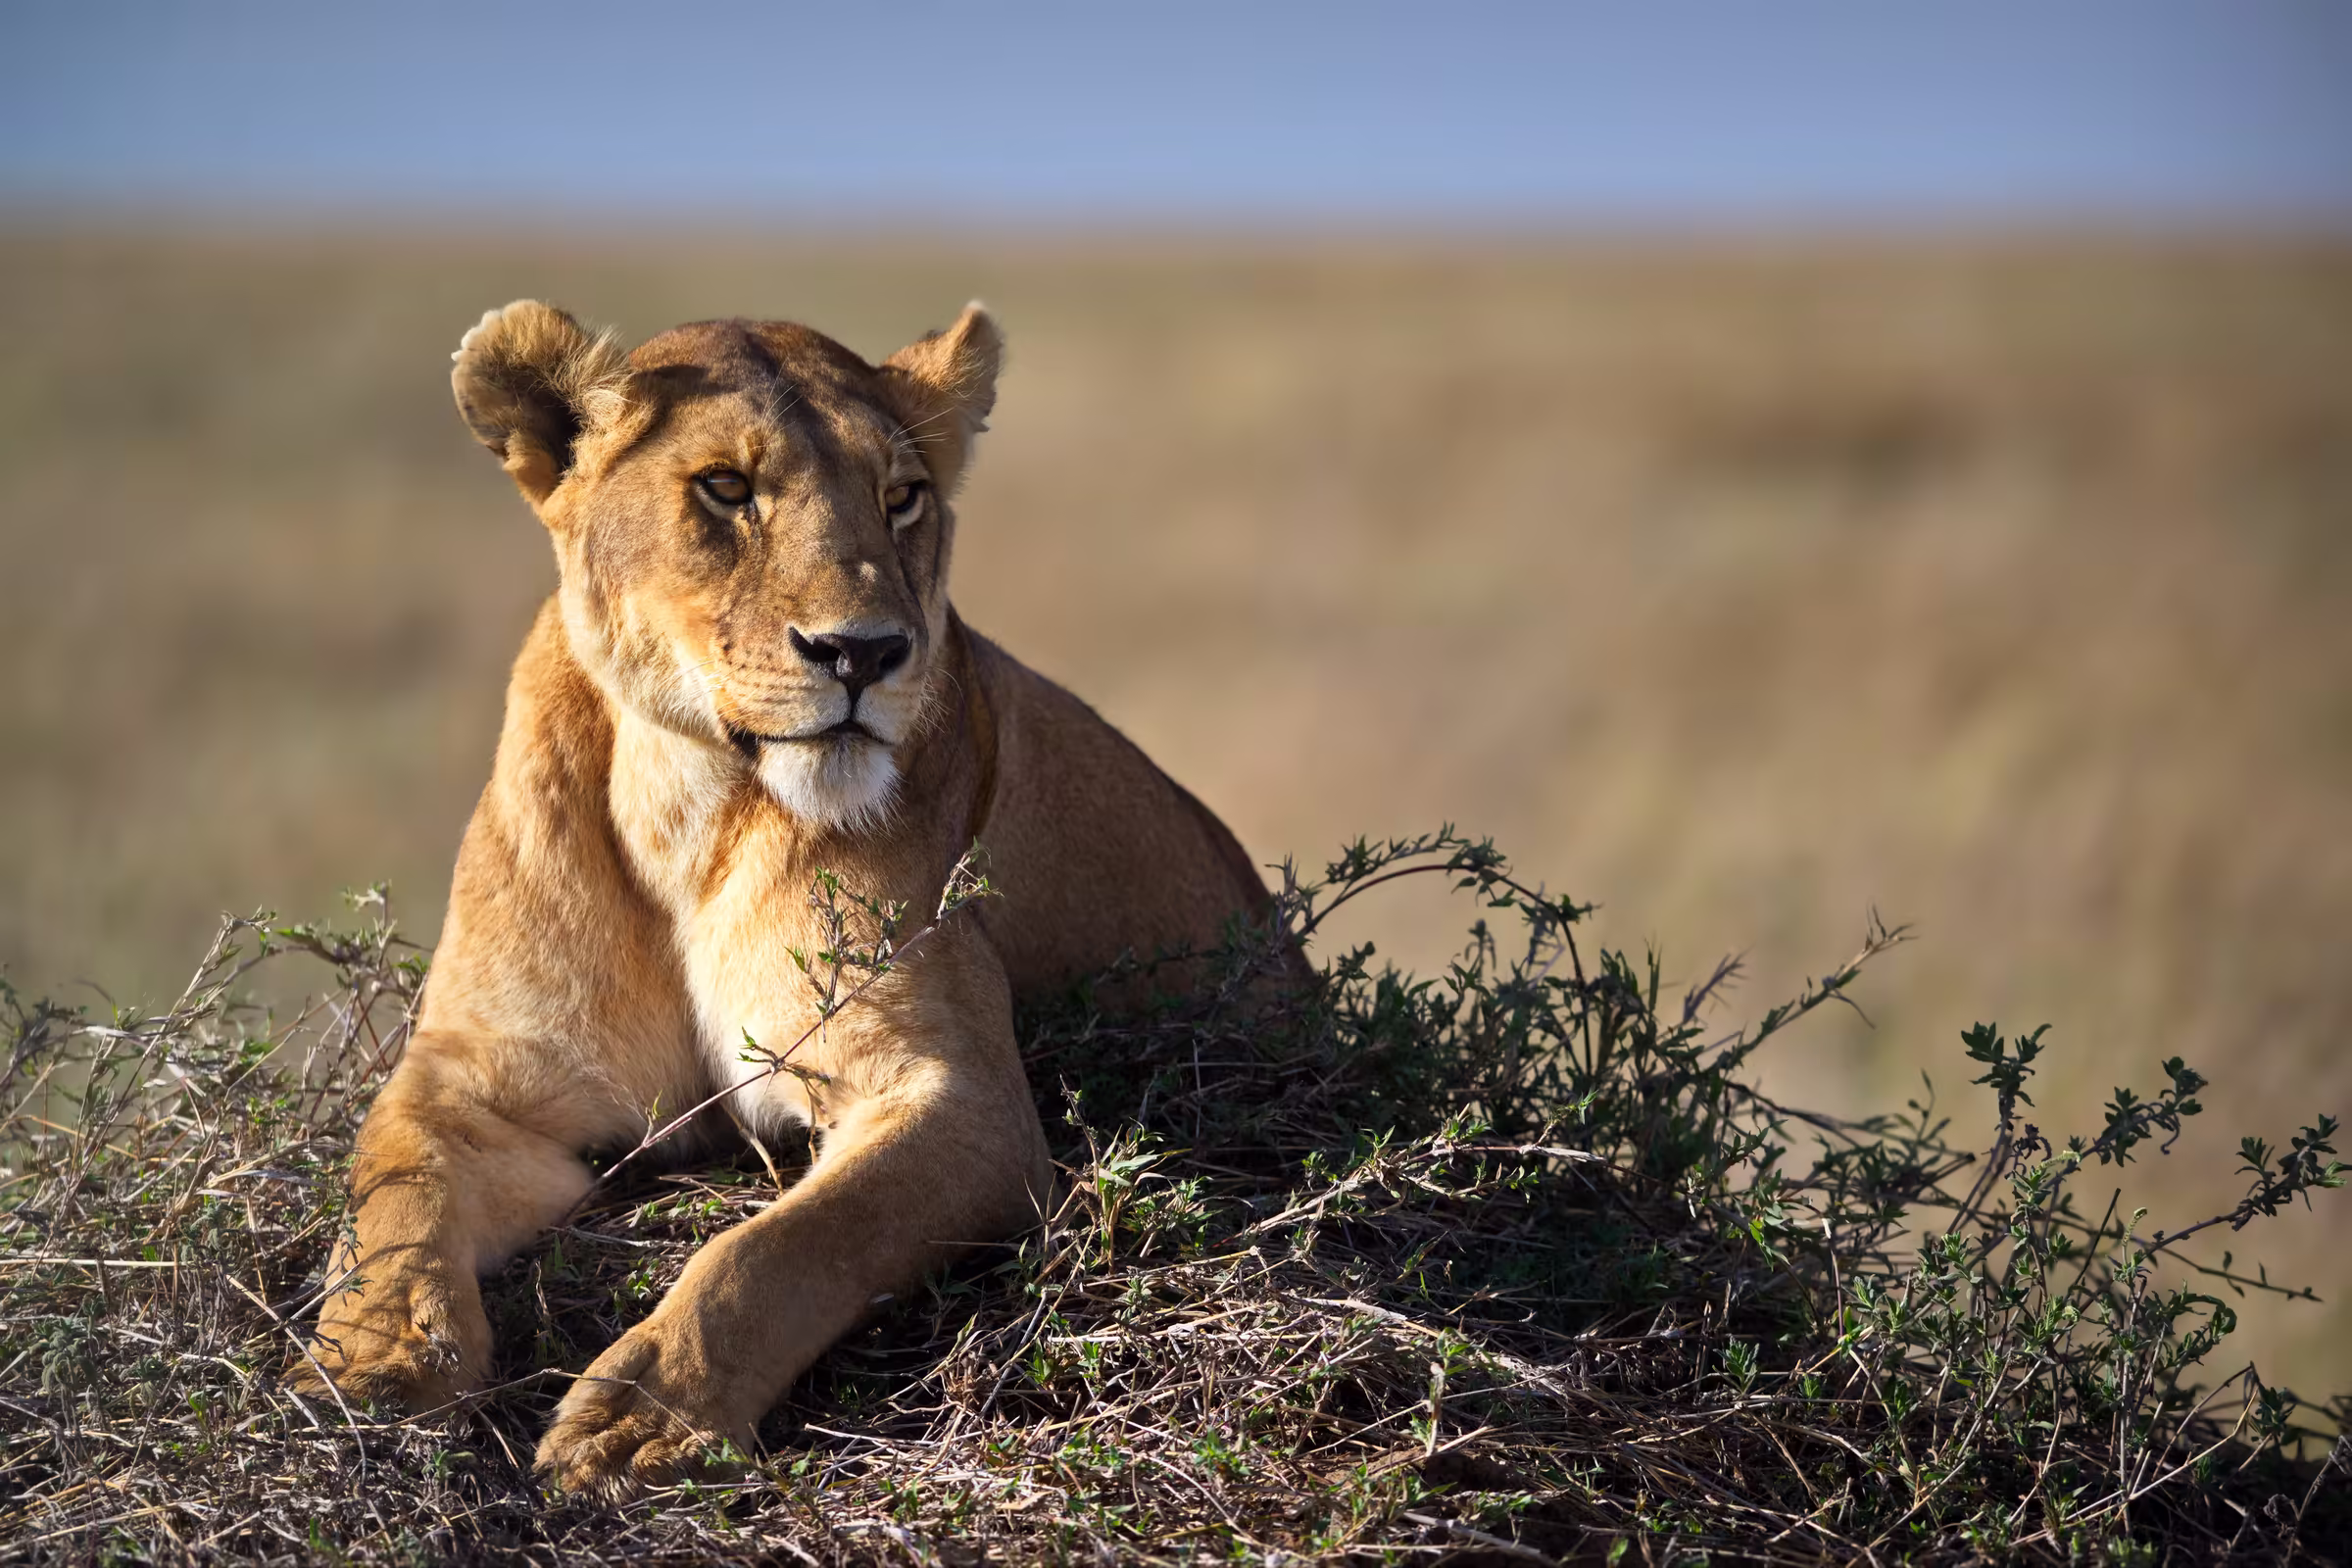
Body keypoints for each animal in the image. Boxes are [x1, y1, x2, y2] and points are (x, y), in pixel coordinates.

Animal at [289, 300, 1272, 1495]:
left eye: (903, 496)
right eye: (725, 488)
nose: (866, 652)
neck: (687, 807)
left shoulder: (953, 1095)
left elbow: (784, 1244)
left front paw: (642, 1416)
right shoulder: (481, 1086)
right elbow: (393, 1191)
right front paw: (374, 1366)